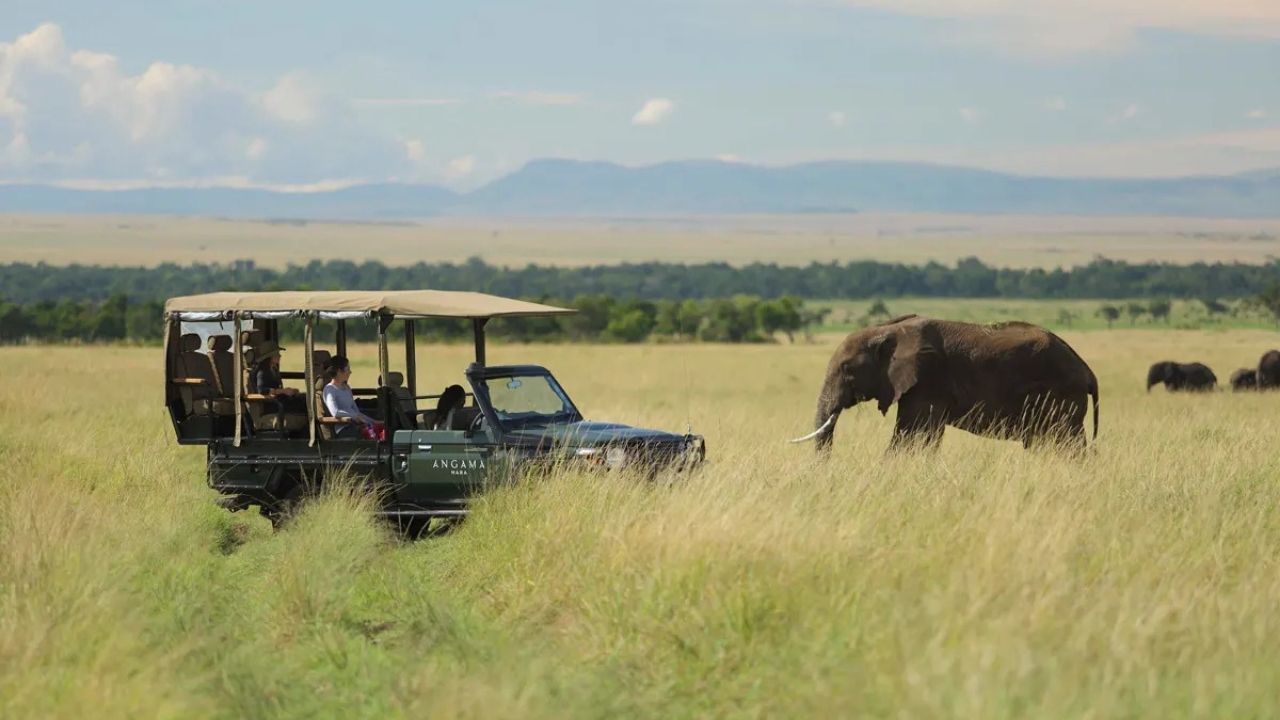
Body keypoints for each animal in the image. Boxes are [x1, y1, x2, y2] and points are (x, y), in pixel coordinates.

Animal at [792, 315, 1099, 453]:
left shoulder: (928, 380)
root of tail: (1087, 370)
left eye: (847, 369)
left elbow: (911, 436)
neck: (888, 330)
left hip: (1061, 397)